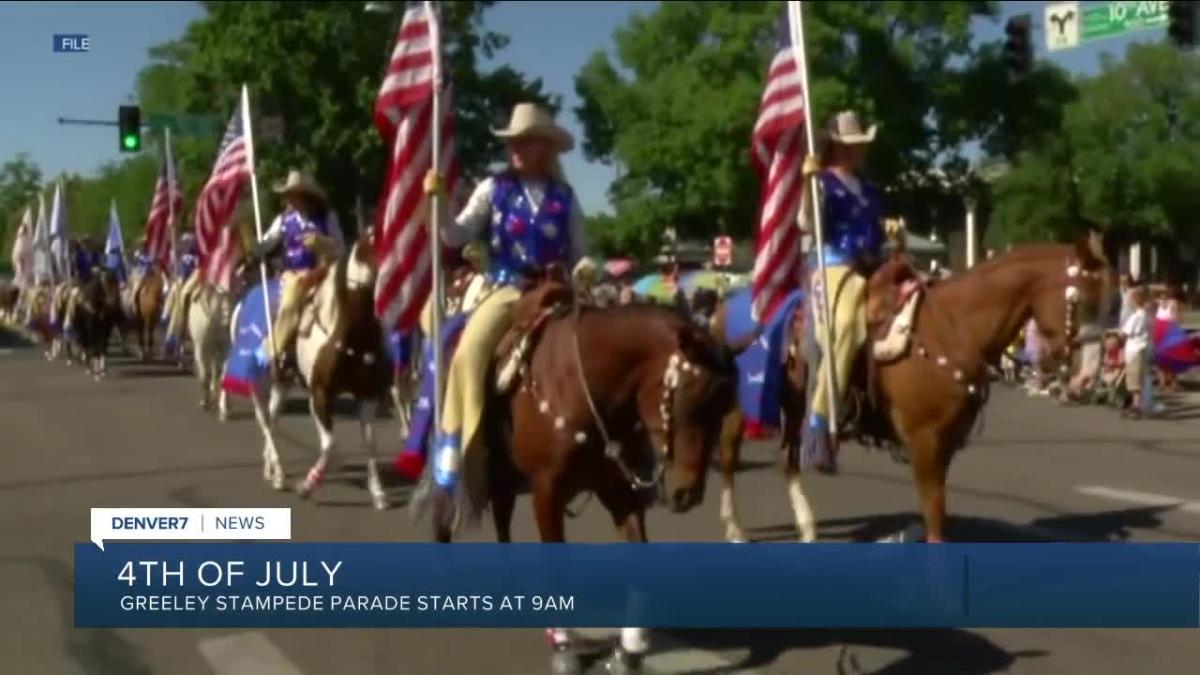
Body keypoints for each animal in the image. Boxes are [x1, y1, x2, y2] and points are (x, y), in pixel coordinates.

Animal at [253, 234, 393, 506]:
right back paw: (277, 473)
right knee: (267, 421)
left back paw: (270, 468)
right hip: (268, 383)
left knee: (273, 420)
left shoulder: (368, 396)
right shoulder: (319, 395)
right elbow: (330, 445)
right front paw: (307, 485)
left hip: (284, 384)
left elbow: (370, 442)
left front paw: (378, 491)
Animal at [427, 269, 734, 672]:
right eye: (691, 400)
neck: (584, 384)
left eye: (725, 407)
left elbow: (638, 559)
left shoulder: (619, 491)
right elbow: (557, 567)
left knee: (502, 515)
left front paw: (629, 651)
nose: (688, 493)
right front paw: (563, 647)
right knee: (446, 507)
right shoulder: (547, 491)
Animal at [705, 236, 1108, 540]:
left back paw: (806, 526)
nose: (1085, 376)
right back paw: (735, 528)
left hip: (795, 403)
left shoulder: (945, 442)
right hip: (741, 407)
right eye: (1082, 299)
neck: (954, 327)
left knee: (789, 459)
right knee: (728, 457)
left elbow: (936, 510)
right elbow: (934, 511)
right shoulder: (925, 440)